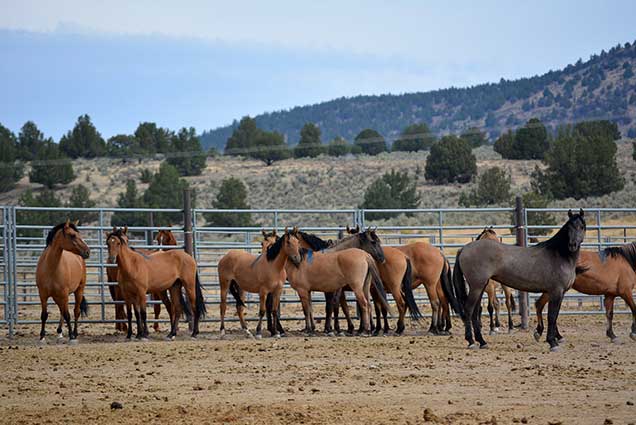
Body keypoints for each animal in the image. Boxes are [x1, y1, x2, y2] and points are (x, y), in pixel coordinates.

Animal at [442, 209, 588, 352]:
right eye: (569, 227)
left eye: (582, 226)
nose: (572, 245)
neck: (559, 254)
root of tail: (464, 249)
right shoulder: (556, 291)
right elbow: (552, 316)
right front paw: (552, 342)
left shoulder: (559, 293)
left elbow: (554, 315)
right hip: (477, 286)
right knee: (468, 310)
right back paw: (471, 342)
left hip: (481, 287)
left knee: (475, 311)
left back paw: (482, 342)